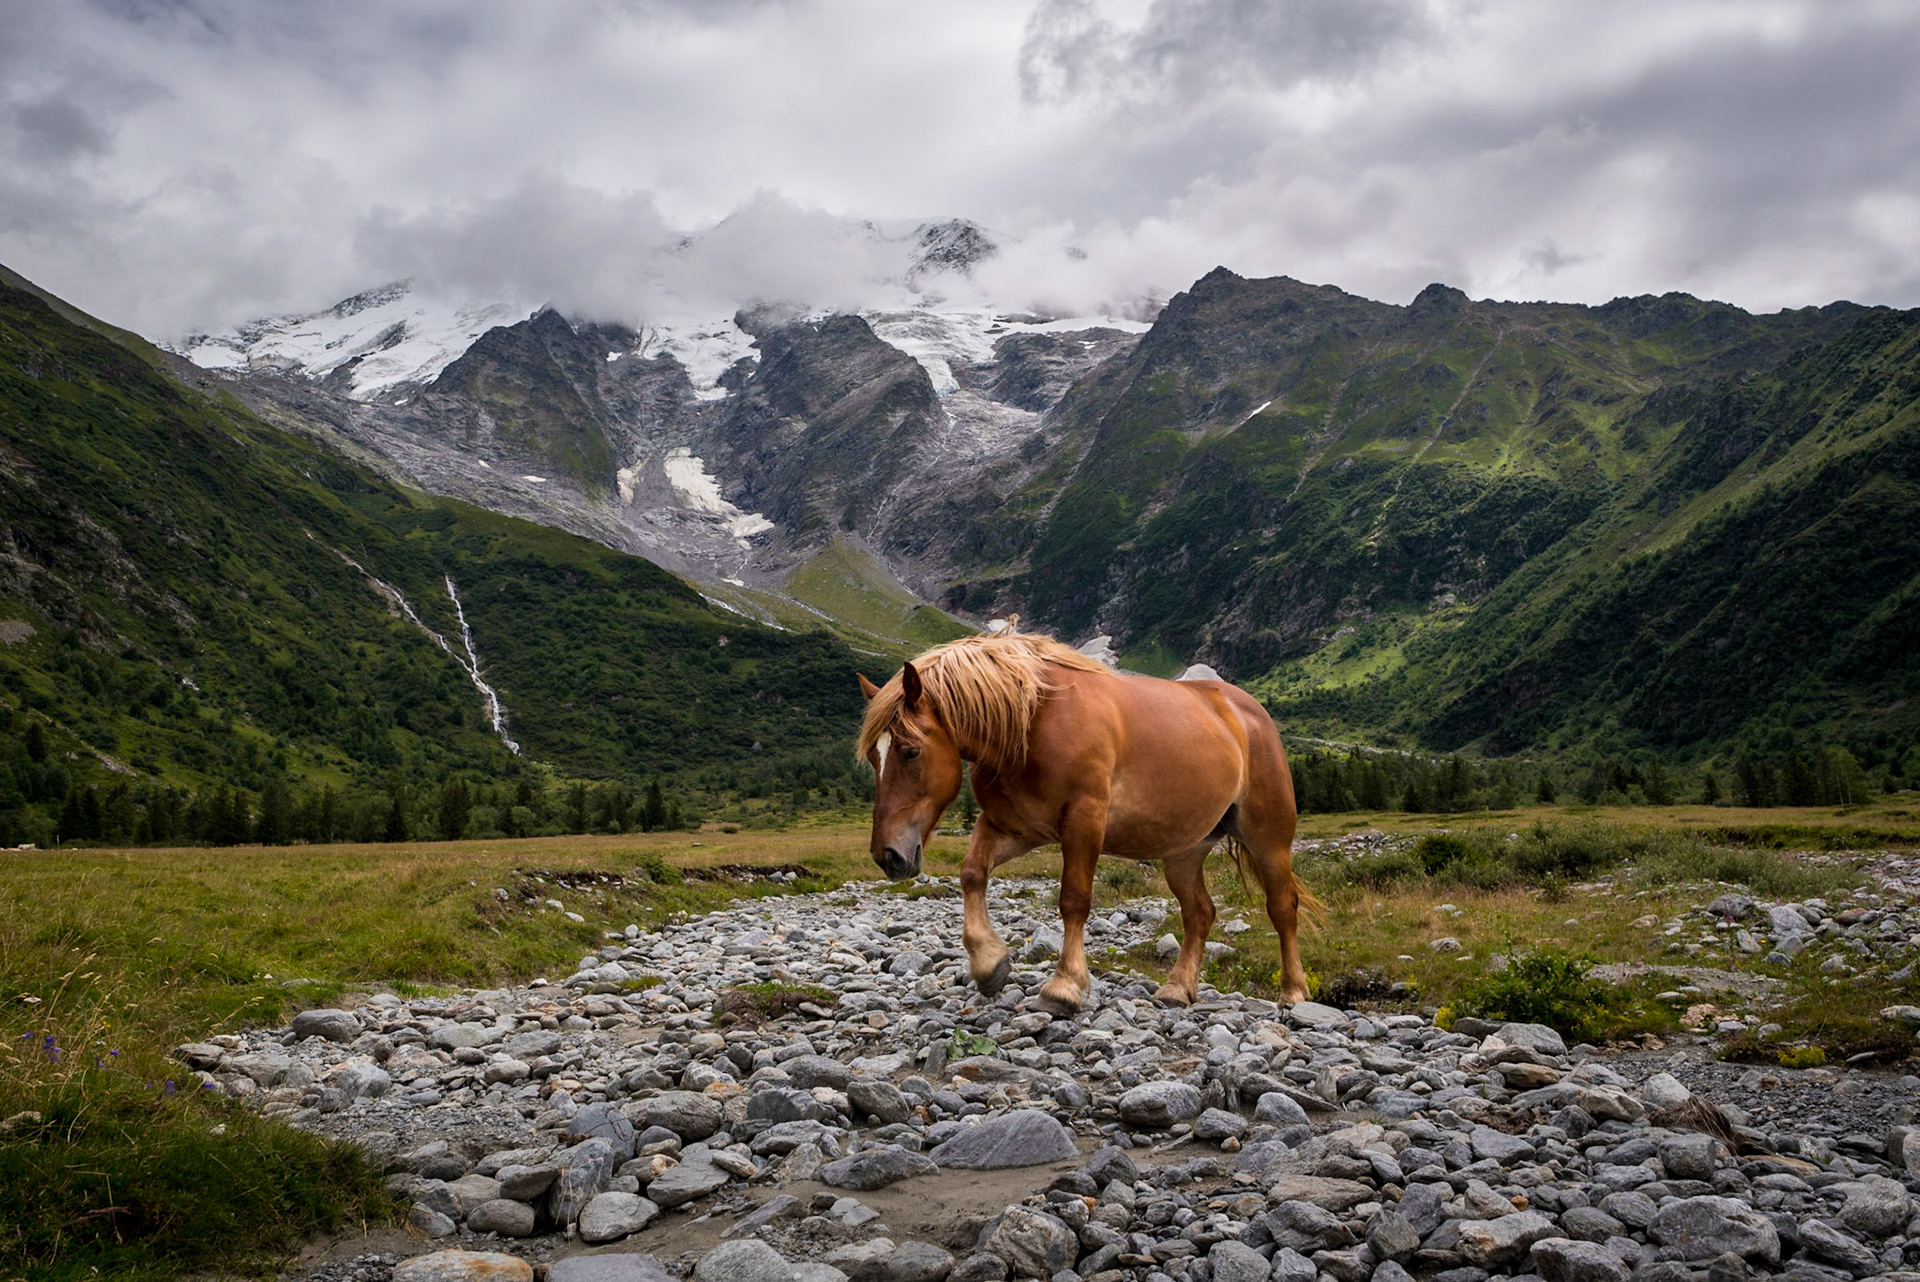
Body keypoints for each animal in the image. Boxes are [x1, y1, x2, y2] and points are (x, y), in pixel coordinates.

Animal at [856, 632, 1318, 1015]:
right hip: (1184, 853)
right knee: (1200, 913)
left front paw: (1064, 987)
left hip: (1268, 840)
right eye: (874, 758)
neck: (1031, 723)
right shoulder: (1013, 829)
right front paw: (989, 964)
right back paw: (1177, 989)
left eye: (911, 751)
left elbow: (1074, 900)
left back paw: (1293, 993)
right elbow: (972, 874)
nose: (888, 855)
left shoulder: (1084, 824)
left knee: (1282, 907)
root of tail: (1250, 713)